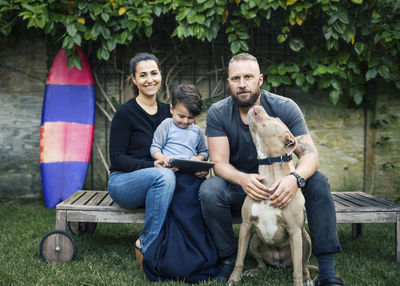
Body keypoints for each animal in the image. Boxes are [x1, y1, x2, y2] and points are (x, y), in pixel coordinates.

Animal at [230, 106, 314, 286]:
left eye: (275, 118)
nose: (257, 106)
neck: (270, 173)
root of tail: (280, 262)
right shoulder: (246, 225)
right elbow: (239, 258)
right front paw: (233, 279)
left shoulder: (294, 230)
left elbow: (297, 270)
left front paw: (299, 282)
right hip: (254, 240)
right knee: (262, 263)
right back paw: (254, 271)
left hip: (305, 239)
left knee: (303, 265)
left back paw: (308, 279)